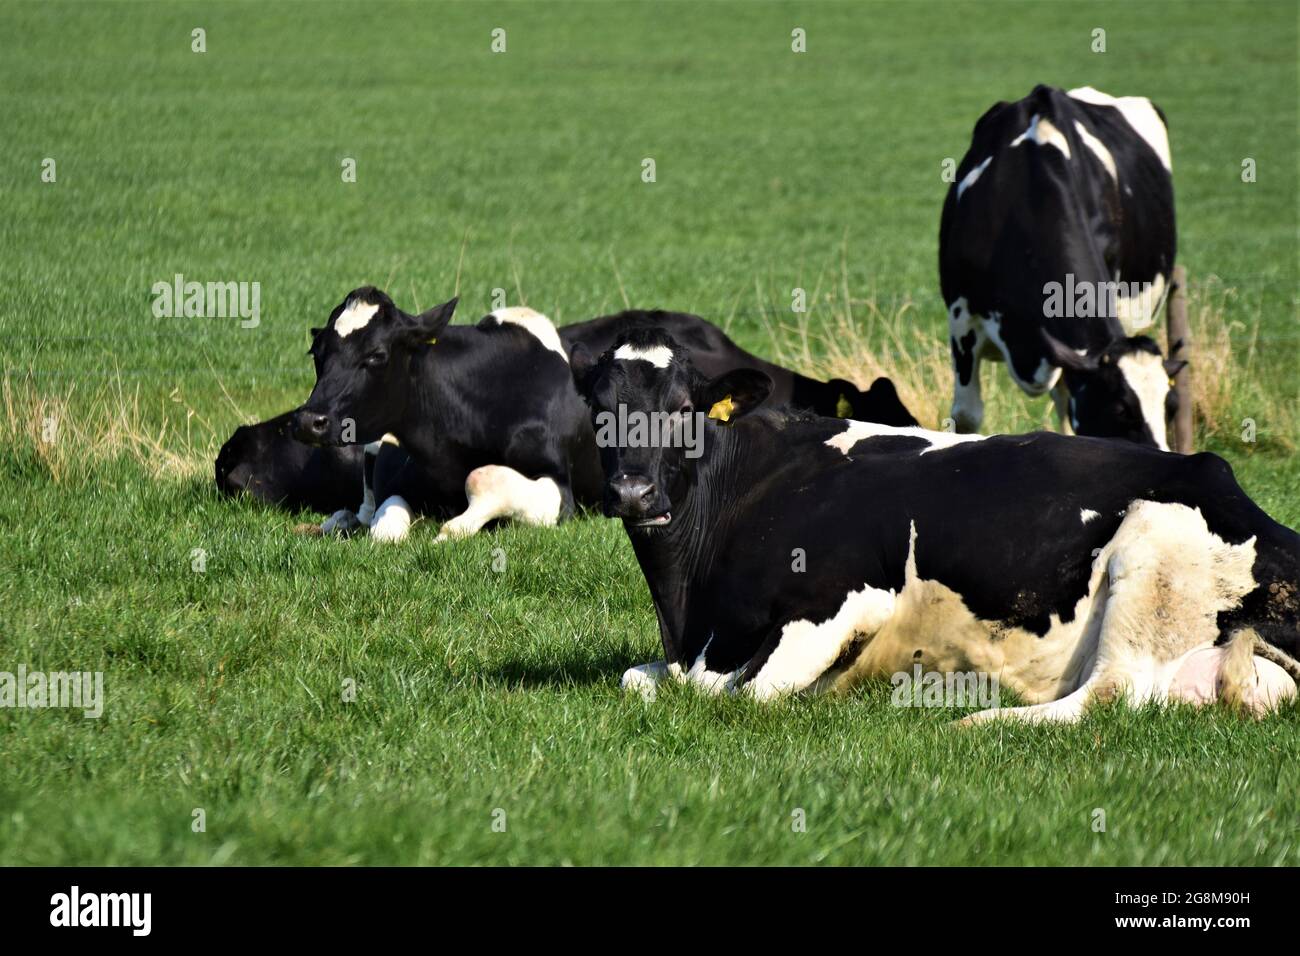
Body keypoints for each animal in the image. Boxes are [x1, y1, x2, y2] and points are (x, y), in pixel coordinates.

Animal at [570, 327, 1300, 723]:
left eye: (684, 409)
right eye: (600, 407)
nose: (632, 490)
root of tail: (1222, 476)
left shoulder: (847, 598)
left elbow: (733, 695)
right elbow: (638, 679)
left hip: (1154, 546)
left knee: (1107, 695)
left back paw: (975, 719)